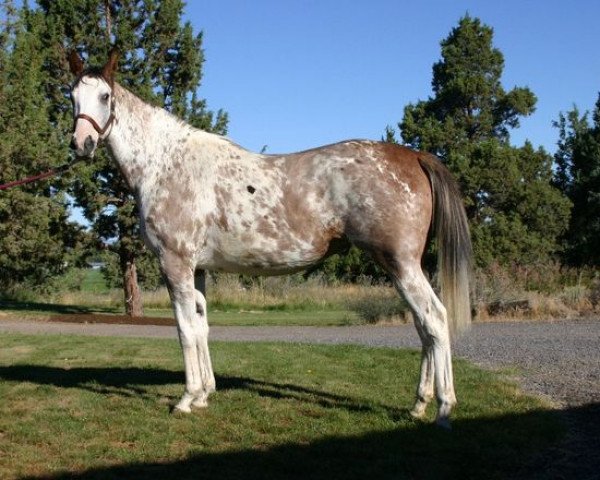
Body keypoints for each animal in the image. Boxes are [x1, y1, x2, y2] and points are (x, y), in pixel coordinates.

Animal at [68, 48, 472, 428]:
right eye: (72, 95)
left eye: (105, 96)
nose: (81, 144)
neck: (164, 163)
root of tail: (415, 156)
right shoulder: (198, 269)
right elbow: (202, 325)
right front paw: (205, 394)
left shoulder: (175, 263)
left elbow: (184, 329)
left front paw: (186, 398)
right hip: (402, 267)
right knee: (423, 328)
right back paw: (418, 405)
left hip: (400, 264)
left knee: (435, 320)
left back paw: (444, 408)